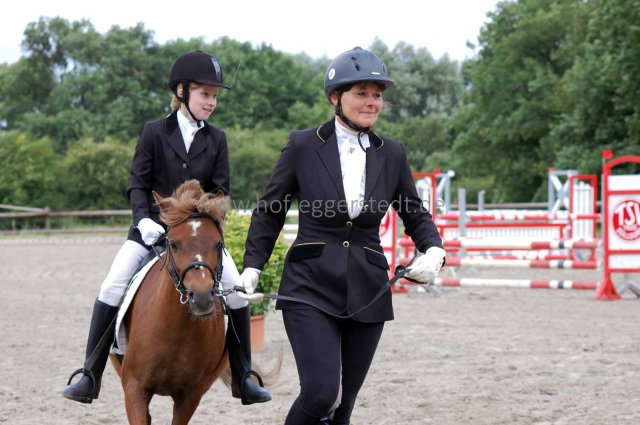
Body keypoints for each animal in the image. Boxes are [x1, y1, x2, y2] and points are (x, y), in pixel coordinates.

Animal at [110, 180, 231, 424]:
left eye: (217, 244)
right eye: (173, 244)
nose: (201, 298)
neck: (177, 330)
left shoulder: (191, 395)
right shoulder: (134, 388)